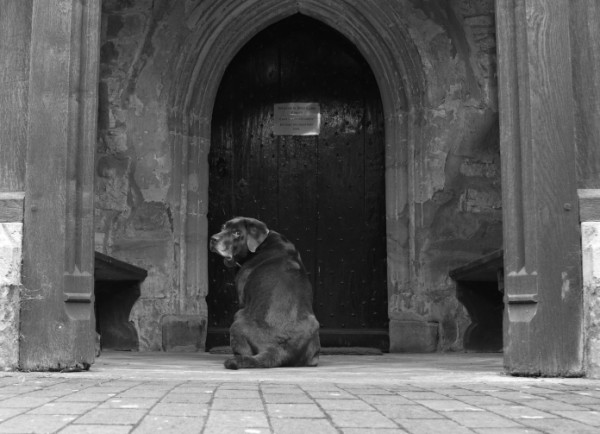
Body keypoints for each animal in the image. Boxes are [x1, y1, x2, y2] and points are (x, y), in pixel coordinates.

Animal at [210, 217, 322, 370]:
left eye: (237, 233)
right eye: (223, 228)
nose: (213, 239)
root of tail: (277, 349)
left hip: (237, 320)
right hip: (314, 325)